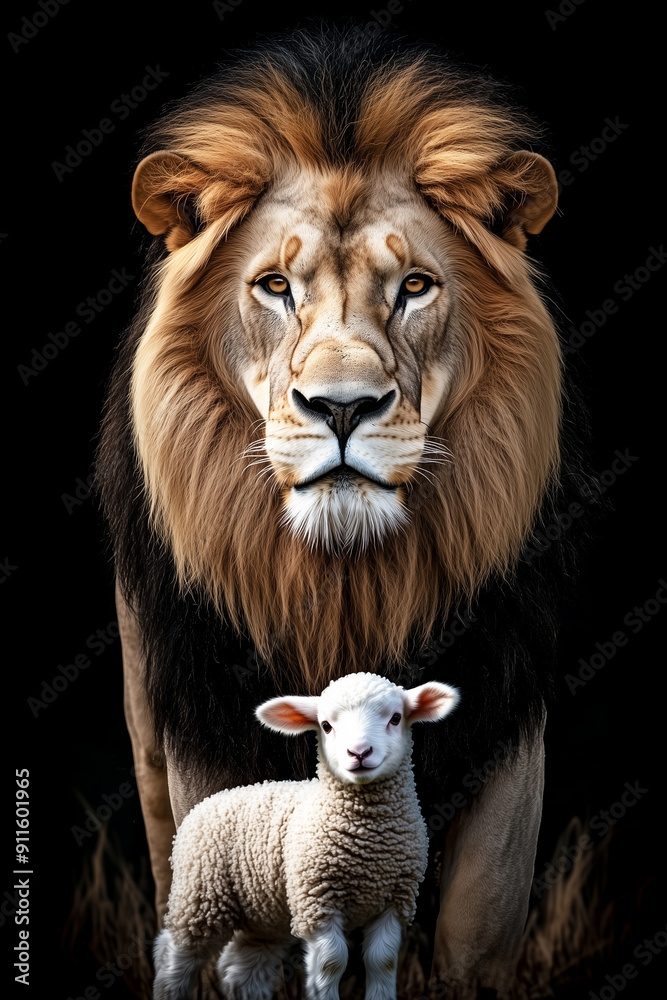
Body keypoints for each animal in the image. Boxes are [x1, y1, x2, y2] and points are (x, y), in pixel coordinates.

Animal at [153, 672, 460, 1000]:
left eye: (396, 718)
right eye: (326, 725)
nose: (359, 753)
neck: (367, 841)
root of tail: (210, 800)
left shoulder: (395, 902)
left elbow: (383, 961)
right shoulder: (317, 902)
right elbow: (332, 963)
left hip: (263, 913)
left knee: (243, 967)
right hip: (199, 895)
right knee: (175, 954)